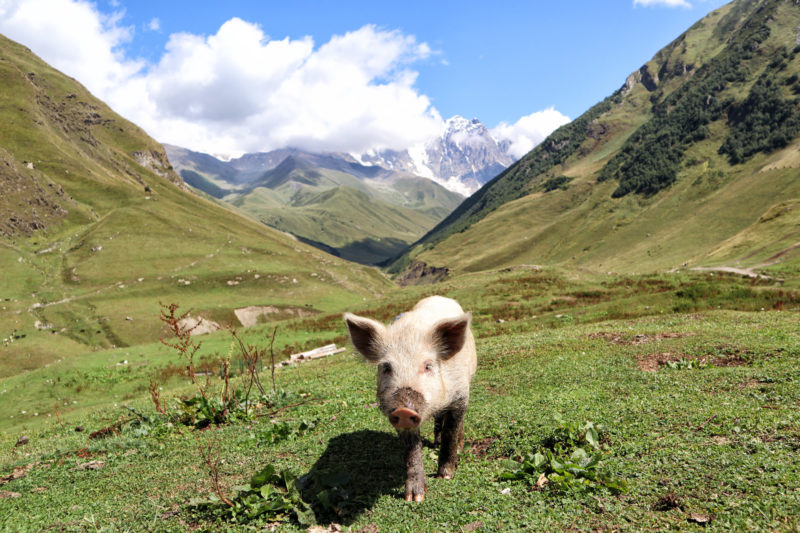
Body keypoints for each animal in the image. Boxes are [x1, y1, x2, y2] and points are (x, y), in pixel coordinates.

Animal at [342, 296, 476, 498]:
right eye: (386, 367)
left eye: (428, 366)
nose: (404, 410)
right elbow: (411, 449)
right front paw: (415, 497)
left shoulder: (461, 395)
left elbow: (451, 432)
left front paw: (445, 476)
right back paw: (435, 443)